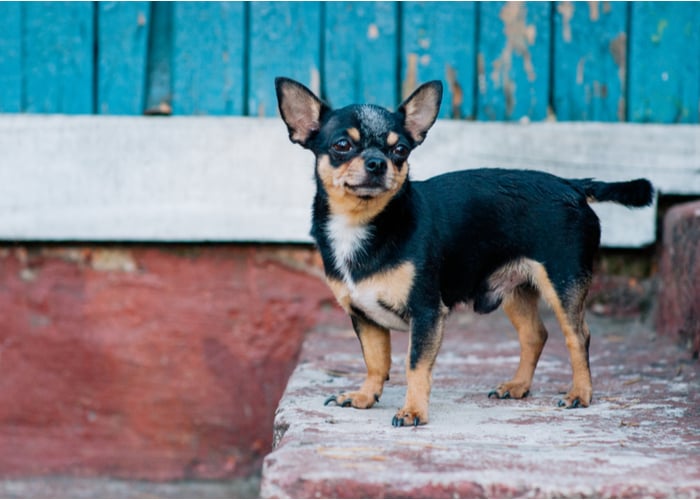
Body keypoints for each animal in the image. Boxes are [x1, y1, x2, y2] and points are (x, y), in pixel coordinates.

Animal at [274, 77, 652, 426]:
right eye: (342, 145)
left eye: (401, 151)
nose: (377, 163)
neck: (364, 223)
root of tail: (571, 185)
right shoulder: (364, 317)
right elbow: (375, 361)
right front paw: (365, 396)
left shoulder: (426, 313)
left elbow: (414, 365)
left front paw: (413, 411)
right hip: (516, 289)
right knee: (535, 335)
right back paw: (517, 386)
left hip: (563, 283)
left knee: (578, 337)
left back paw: (580, 394)